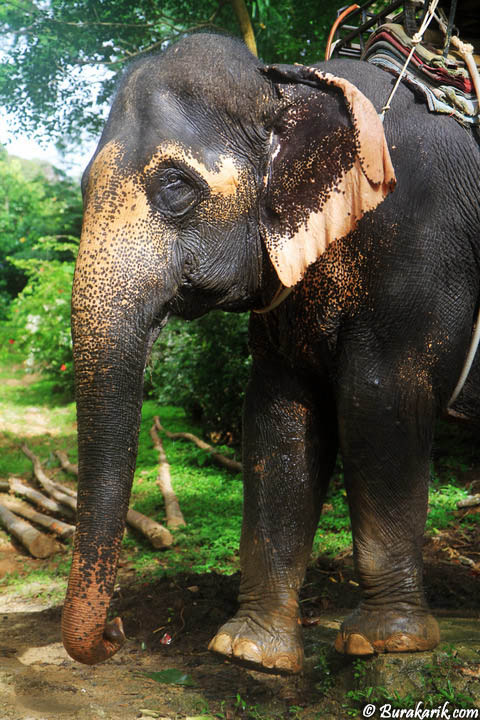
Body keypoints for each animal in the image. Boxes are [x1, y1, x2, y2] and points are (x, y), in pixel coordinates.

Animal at [61, 32, 480, 676]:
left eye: (174, 187)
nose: (115, 631)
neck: (291, 84)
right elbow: (280, 414)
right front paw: (250, 650)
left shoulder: (424, 242)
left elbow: (380, 398)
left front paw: (384, 642)